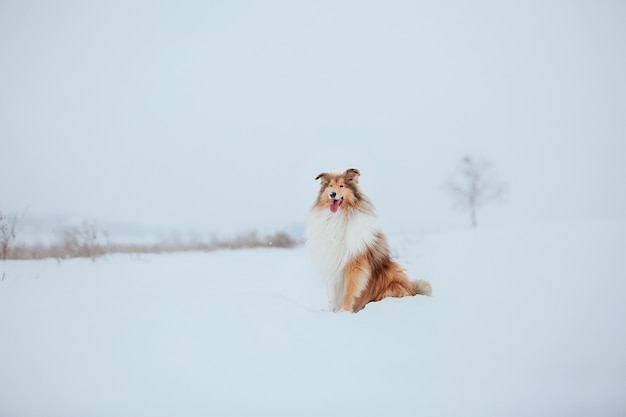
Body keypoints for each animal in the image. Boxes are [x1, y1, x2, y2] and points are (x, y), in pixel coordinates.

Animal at [306, 167, 432, 310]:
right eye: (330, 186)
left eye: (342, 186)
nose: (332, 194)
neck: (338, 217)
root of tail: (413, 291)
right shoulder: (331, 263)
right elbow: (332, 294)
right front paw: (330, 311)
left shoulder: (354, 263)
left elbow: (349, 291)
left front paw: (344, 311)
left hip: (394, 276)